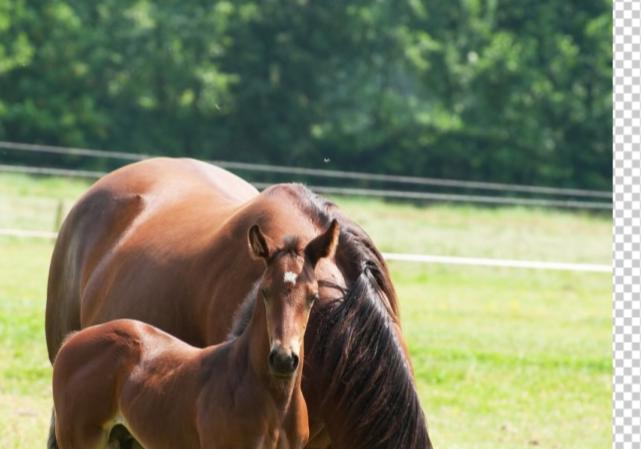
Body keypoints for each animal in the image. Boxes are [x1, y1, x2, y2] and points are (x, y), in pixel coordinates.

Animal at [52, 220, 340, 448]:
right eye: (265, 291)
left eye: (313, 297)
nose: (283, 359)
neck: (275, 403)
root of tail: (72, 340)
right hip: (79, 439)